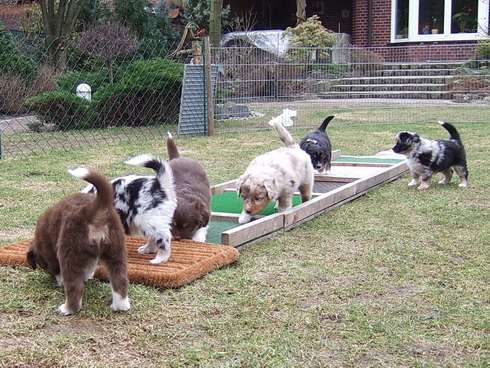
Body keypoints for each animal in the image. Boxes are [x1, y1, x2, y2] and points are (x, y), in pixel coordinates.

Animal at [26, 168, 130, 314]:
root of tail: (91, 209)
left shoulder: (50, 252)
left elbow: (58, 270)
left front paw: (60, 281)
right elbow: (90, 267)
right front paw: (87, 276)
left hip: (70, 252)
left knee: (74, 287)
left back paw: (67, 309)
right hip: (116, 250)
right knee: (120, 281)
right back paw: (120, 306)